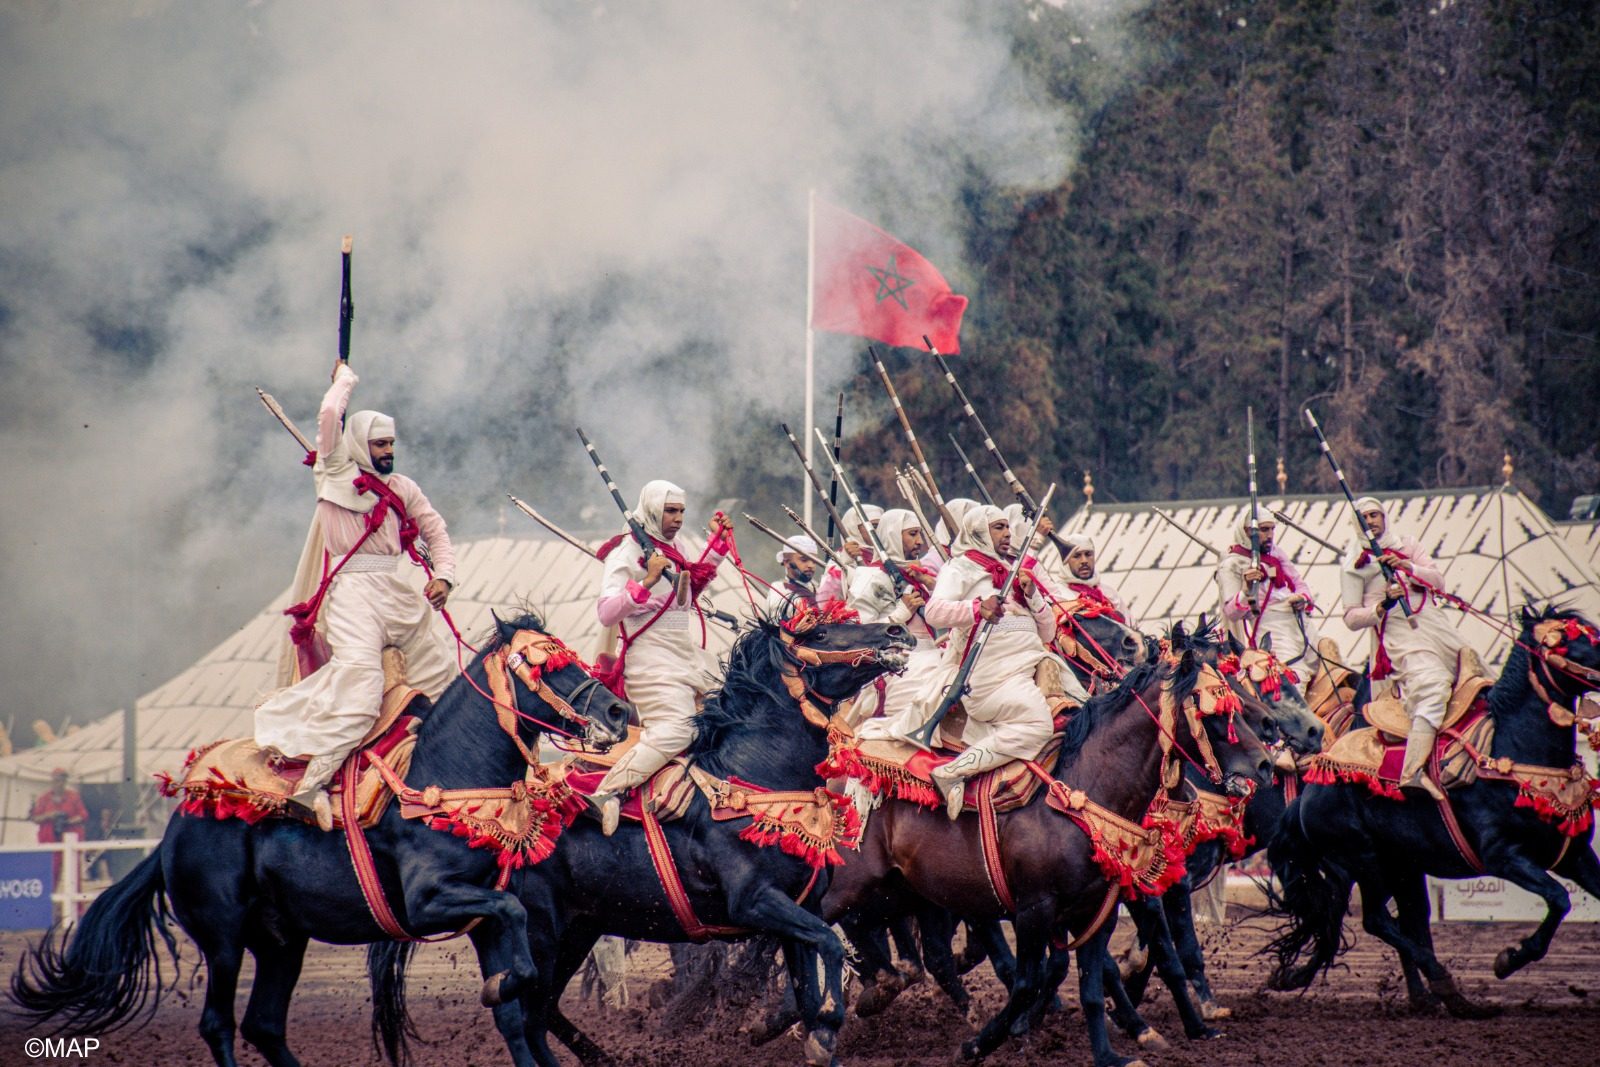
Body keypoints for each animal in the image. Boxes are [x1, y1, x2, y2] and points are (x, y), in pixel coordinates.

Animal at [17, 607, 636, 1067]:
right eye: (544, 666)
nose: (618, 709)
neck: (444, 775)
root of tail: (176, 828)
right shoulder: (431, 901)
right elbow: (516, 933)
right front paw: (504, 987)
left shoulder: (483, 914)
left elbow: (515, 993)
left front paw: (502, 988)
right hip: (222, 937)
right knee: (219, 1023)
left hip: (281, 941)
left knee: (264, 1025)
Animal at [371, 607, 915, 1067]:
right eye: (818, 633)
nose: (896, 631)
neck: (752, 779)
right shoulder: (757, 903)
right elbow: (829, 949)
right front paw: (824, 1031)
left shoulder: (797, 911)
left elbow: (811, 981)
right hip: (538, 931)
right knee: (525, 1012)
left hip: (577, 930)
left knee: (542, 1013)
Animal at [825, 633, 1273, 1067]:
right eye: (1215, 708)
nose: (1266, 763)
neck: (1084, 789)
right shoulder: (1035, 910)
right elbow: (1030, 982)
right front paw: (978, 1045)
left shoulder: (1098, 910)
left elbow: (1091, 983)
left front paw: (1112, 1052)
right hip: (852, 886)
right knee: (823, 925)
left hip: (906, 892)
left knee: (891, 941)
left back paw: (877, 992)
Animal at [1260, 604, 1600, 1017]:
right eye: (1569, 639)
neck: (1513, 749)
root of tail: (1310, 790)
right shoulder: (1504, 856)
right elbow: (1559, 898)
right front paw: (1507, 960)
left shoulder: (1576, 855)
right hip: (1362, 859)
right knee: (1376, 919)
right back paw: (1445, 985)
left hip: (1393, 864)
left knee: (1383, 918)